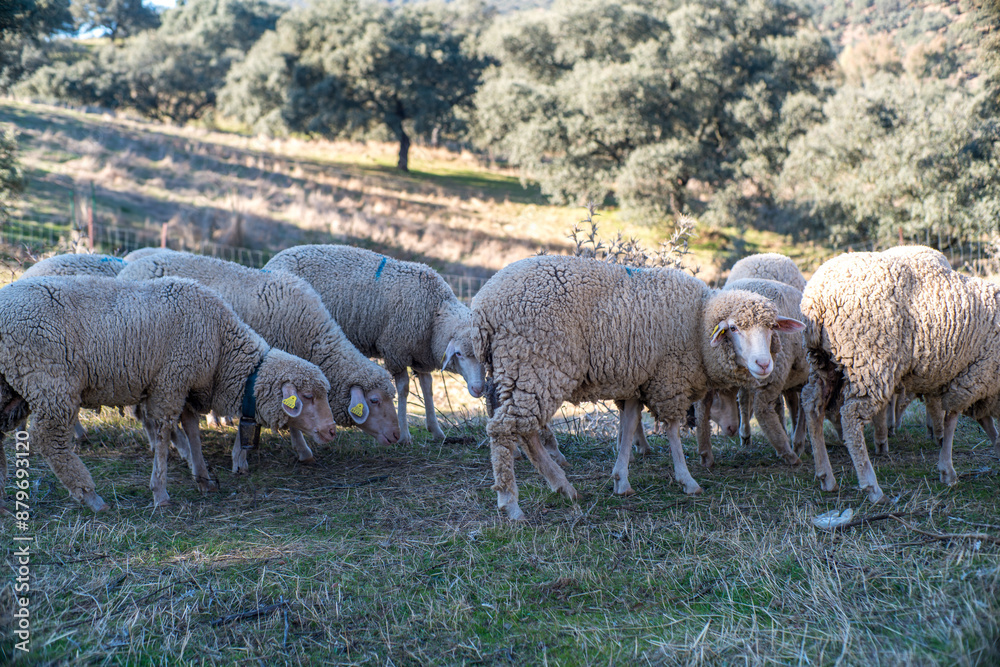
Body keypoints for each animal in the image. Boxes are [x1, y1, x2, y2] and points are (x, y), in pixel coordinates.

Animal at [0, 276, 337, 510]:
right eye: (308, 397)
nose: (332, 431)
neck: (222, 349)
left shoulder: (185, 387)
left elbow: (192, 431)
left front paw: (203, 478)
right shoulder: (170, 382)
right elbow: (163, 436)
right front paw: (160, 492)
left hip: (11, 386)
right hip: (50, 380)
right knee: (49, 439)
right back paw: (91, 496)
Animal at [117, 252, 400, 472]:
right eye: (374, 401)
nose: (397, 435)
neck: (311, 336)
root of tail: (129, 268)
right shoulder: (262, 374)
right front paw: (245, 458)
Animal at [264, 245, 485, 445]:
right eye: (458, 353)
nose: (478, 389)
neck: (435, 315)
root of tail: (274, 260)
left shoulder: (420, 355)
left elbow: (427, 387)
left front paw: (436, 431)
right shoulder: (396, 350)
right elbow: (403, 389)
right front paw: (404, 436)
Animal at [800, 246, 1000, 502]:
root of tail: (816, 298)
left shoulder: (978, 381)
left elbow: (982, 420)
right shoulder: (975, 376)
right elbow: (953, 419)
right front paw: (947, 470)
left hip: (825, 362)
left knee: (812, 404)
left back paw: (826, 476)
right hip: (870, 363)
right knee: (851, 416)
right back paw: (871, 486)